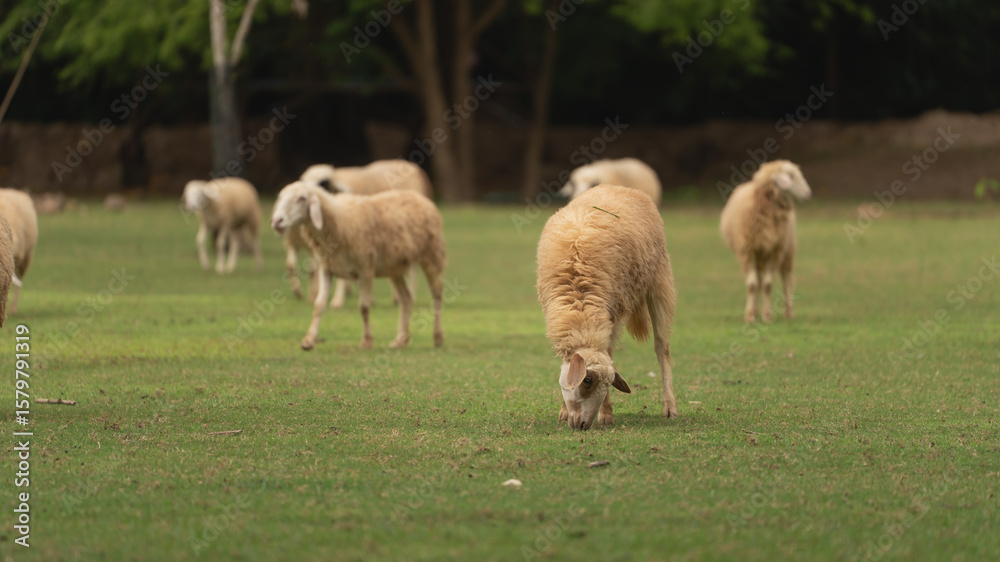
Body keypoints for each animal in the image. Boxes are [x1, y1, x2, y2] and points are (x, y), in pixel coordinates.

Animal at [270, 181, 446, 350]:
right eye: (281, 197)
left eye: (302, 198)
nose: (277, 221)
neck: (338, 221)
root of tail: (418, 196)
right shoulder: (327, 269)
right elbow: (319, 305)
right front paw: (308, 341)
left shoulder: (365, 269)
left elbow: (364, 307)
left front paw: (367, 341)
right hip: (394, 268)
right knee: (406, 299)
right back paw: (401, 340)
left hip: (432, 255)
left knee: (437, 296)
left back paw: (437, 337)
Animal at [537, 184, 677, 430]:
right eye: (588, 380)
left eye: (608, 383)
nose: (583, 424)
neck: (579, 303)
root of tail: (620, 187)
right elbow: (565, 368)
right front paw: (563, 411)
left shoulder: (614, 312)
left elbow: (609, 352)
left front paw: (606, 414)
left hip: (660, 281)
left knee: (662, 347)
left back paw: (670, 406)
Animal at [720, 159, 812, 323]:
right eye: (790, 176)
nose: (808, 193)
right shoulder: (747, 251)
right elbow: (752, 284)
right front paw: (750, 316)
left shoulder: (775, 251)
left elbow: (768, 284)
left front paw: (766, 316)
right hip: (759, 255)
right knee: (759, 280)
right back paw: (755, 311)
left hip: (787, 250)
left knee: (787, 280)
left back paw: (788, 313)